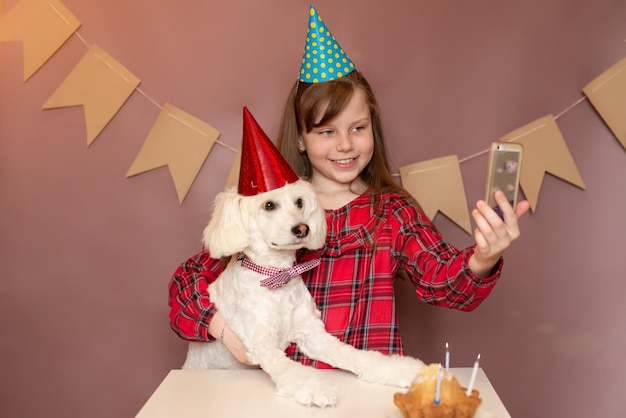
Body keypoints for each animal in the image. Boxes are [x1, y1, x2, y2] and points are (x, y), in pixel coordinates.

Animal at [182, 180, 424, 408]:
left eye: (299, 202)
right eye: (268, 205)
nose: (302, 229)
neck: (277, 275)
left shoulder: (313, 335)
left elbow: (354, 355)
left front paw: (398, 368)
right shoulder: (263, 344)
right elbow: (291, 369)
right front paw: (316, 388)